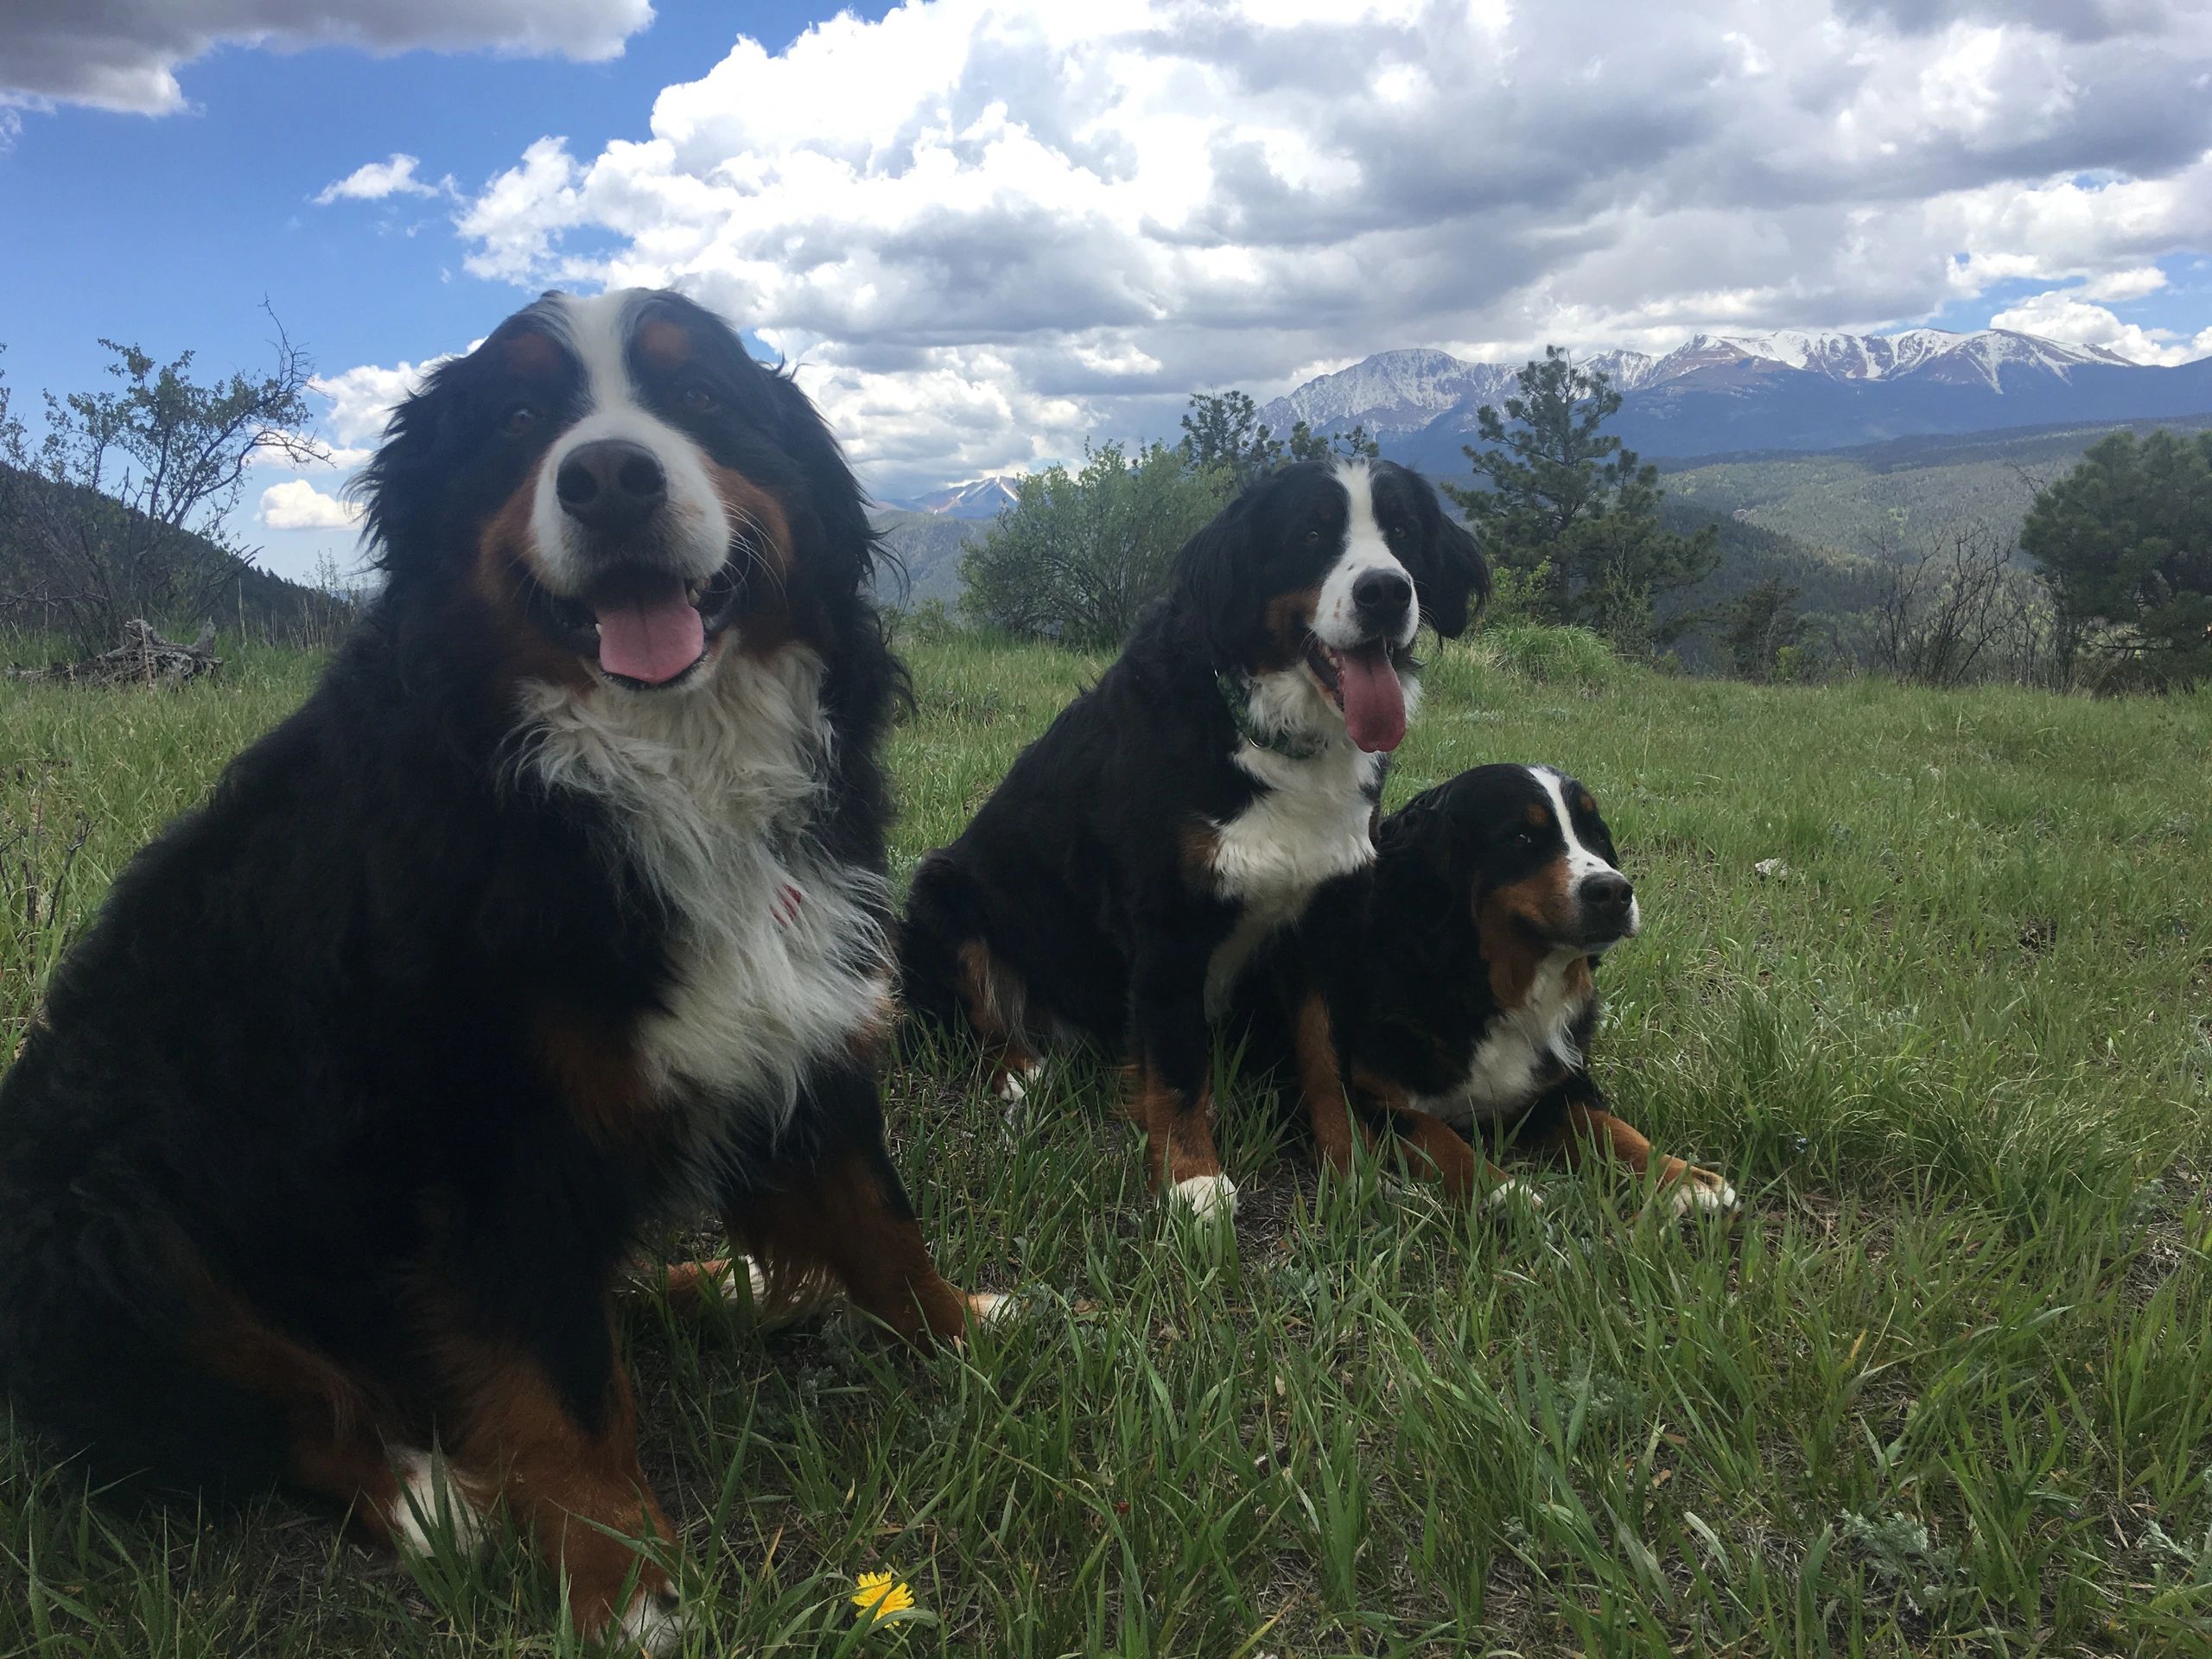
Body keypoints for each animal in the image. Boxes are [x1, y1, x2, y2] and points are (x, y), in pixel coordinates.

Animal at [0, 285, 995, 1654]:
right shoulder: (491, 1132)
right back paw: (430, 1498)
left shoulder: (798, 1011)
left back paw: (726, 1284)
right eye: (519, 420)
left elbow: (878, 1222)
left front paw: (976, 1350)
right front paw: (627, 1586)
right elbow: (559, 1383)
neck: (651, 768)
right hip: (97, 1217)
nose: (611, 477)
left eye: (700, 398)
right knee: (279, 1412)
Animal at [898, 462, 1486, 1230]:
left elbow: (1325, 1058)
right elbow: (1176, 1068)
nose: (1387, 591)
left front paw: (1352, 1170)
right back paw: (1023, 1075)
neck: (1273, 737)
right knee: (975, 1021)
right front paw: (1193, 1181)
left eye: (1405, 533)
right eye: (1310, 535)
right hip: (943, 889)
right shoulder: (1168, 923)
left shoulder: (1324, 919)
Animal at [1247, 769, 1725, 1221]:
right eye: (1521, 837)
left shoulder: (1555, 1089)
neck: (1488, 989)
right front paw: (1500, 1189)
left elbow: (1611, 1128)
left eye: (1595, 834)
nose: (1614, 892)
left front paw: (1685, 1179)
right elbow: (1432, 1133)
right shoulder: (1365, 1093)